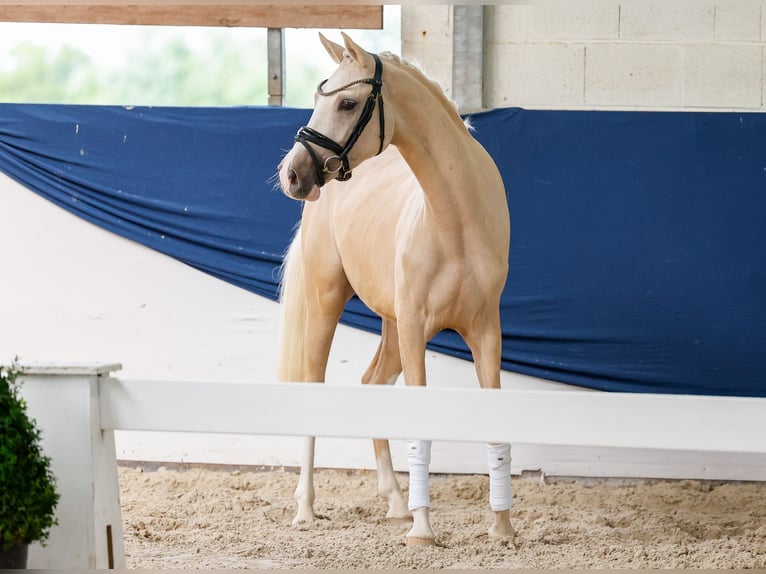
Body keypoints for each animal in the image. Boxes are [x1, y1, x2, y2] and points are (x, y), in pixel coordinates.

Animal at [276, 32, 513, 545]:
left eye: (347, 102)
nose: (292, 173)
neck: (455, 221)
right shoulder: (415, 329)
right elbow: (417, 423)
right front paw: (423, 531)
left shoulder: (485, 332)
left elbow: (494, 425)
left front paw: (502, 528)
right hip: (330, 302)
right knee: (313, 385)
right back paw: (306, 509)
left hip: (391, 324)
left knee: (374, 383)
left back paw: (396, 503)